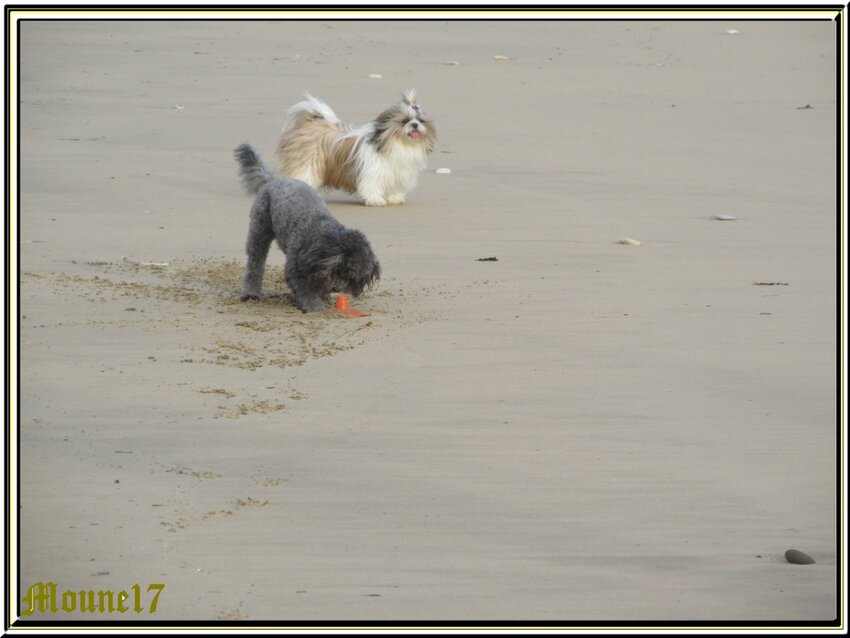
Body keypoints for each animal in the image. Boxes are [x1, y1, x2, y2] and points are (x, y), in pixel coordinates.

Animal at [230, 145, 380, 316]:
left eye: (351, 278)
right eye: (339, 271)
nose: (337, 288)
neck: (322, 232)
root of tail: (273, 181)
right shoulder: (296, 271)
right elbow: (306, 292)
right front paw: (317, 308)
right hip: (259, 230)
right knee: (255, 263)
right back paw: (250, 293)